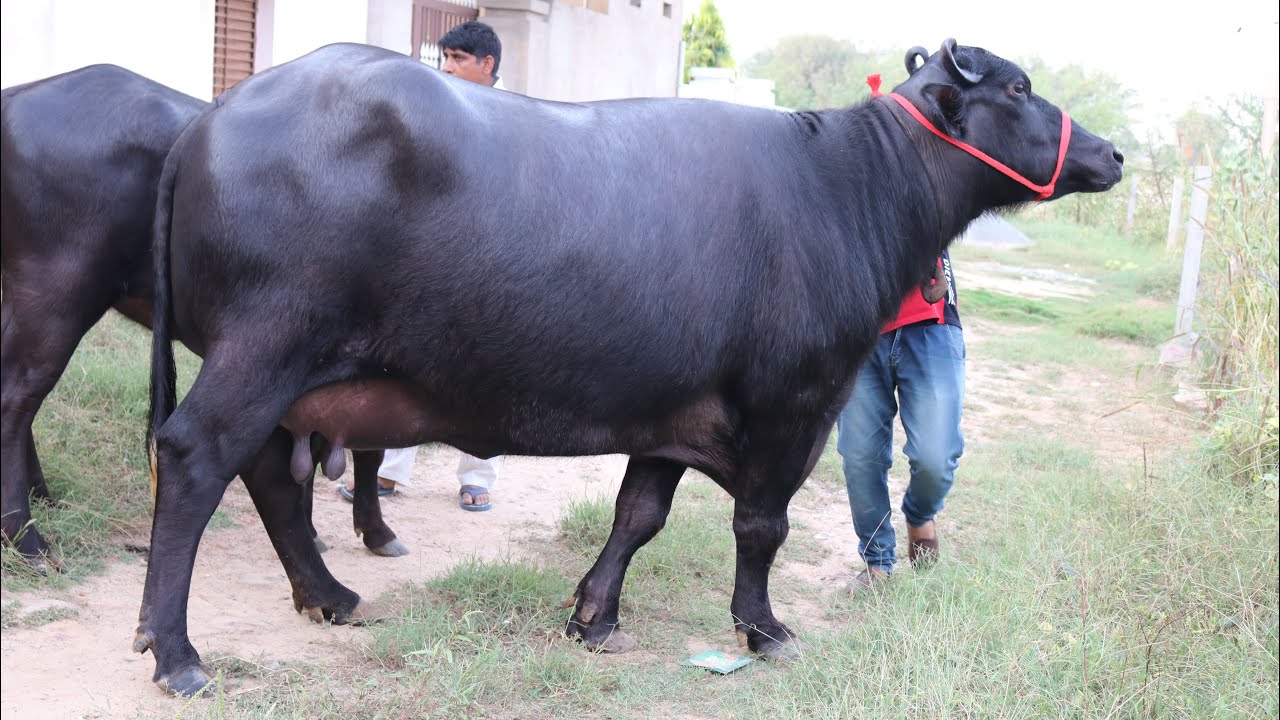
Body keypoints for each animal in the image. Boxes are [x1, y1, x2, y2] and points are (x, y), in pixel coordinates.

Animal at [0, 64, 401, 566]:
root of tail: (17, 96)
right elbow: (367, 449)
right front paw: (373, 528)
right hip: (55, 298)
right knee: (16, 399)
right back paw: (25, 536)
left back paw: (41, 495)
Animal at [137, 40, 1121, 696]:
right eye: (1021, 87)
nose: (1111, 151)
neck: (850, 189)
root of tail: (208, 119)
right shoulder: (791, 407)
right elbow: (762, 527)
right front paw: (764, 629)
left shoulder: (675, 410)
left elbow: (638, 515)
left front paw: (594, 617)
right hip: (264, 348)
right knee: (196, 457)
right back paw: (177, 652)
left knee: (269, 474)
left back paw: (332, 596)